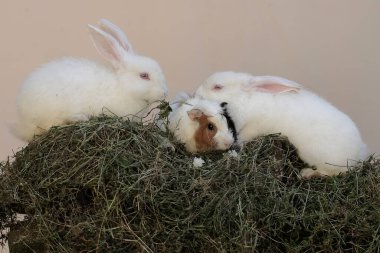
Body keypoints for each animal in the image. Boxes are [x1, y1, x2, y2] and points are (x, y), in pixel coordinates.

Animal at [194, 71, 366, 178]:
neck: (245, 98)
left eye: (217, 87)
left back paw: (307, 173)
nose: (197, 93)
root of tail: (357, 154)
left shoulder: (253, 126)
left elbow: (243, 138)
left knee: (335, 172)